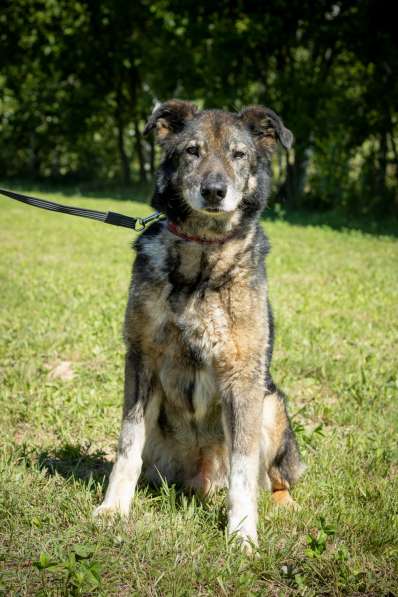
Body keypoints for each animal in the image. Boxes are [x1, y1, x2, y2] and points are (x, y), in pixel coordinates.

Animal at [95, 99, 304, 548]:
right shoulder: (141, 361)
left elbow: (244, 469)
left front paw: (242, 534)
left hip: (271, 404)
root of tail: (200, 481)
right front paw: (114, 507)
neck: (202, 257)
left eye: (238, 155)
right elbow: (127, 445)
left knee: (272, 480)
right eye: (192, 151)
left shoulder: (242, 377)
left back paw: (284, 504)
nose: (214, 191)